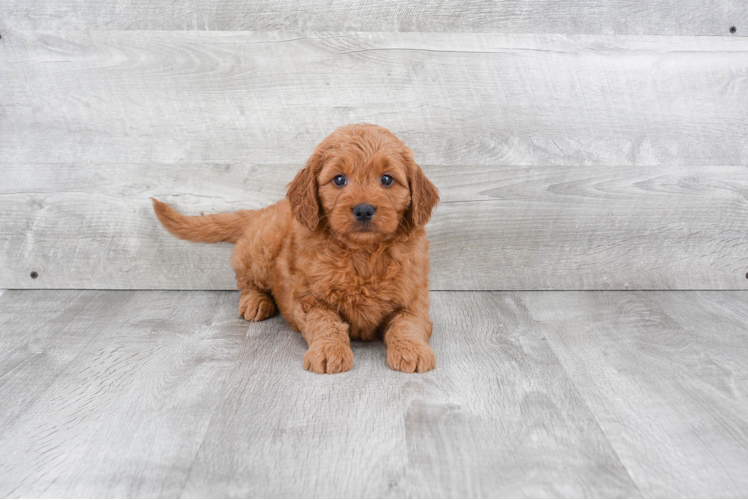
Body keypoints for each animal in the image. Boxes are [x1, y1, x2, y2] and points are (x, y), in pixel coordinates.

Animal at [155, 124, 442, 376]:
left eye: (387, 179)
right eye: (339, 179)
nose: (363, 210)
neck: (362, 255)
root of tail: (263, 211)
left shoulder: (413, 298)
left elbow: (407, 324)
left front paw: (412, 350)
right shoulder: (309, 298)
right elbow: (326, 324)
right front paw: (328, 350)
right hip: (260, 251)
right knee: (246, 280)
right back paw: (255, 301)